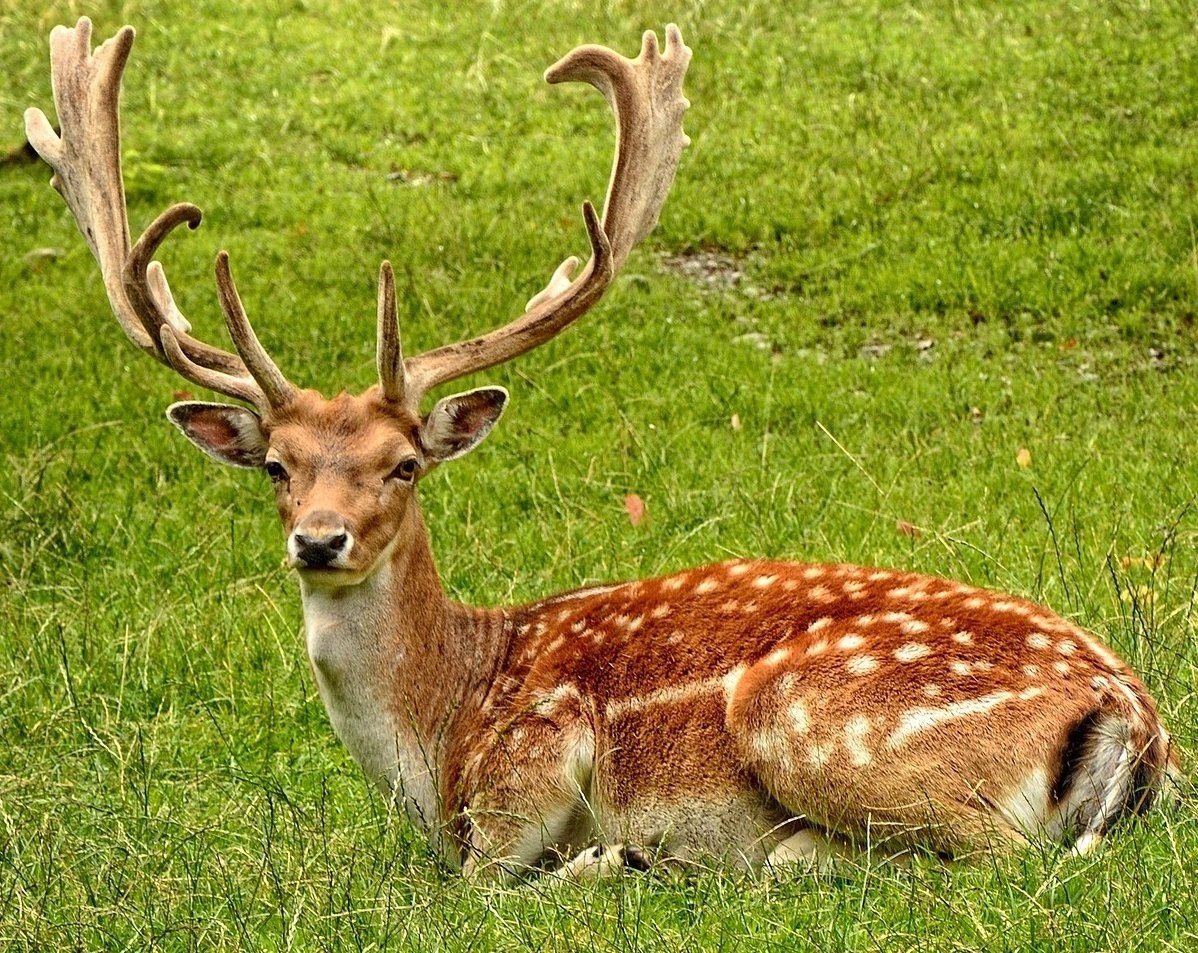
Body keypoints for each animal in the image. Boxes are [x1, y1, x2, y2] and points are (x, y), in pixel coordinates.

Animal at [25, 14, 1178, 882]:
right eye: (278, 465)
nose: (319, 539)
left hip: (808, 714)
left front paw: (606, 858)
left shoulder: (532, 758)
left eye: (405, 463)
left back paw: (738, 857)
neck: (440, 732)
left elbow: (483, 882)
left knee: (994, 856)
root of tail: (1133, 713)